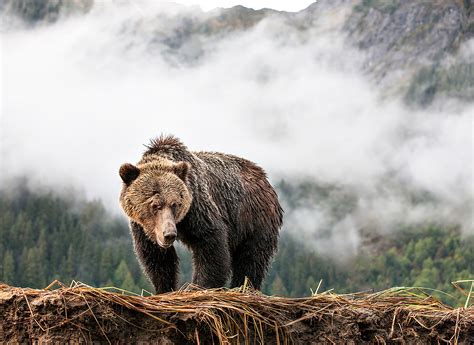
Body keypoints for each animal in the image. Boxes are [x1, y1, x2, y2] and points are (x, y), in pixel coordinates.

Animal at [119, 134, 282, 292]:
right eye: (155, 205)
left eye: (175, 204)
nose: (169, 234)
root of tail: (264, 177)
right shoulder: (143, 227)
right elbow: (157, 258)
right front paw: (164, 288)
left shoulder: (197, 206)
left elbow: (210, 243)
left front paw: (199, 286)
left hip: (254, 218)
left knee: (251, 258)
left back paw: (243, 287)